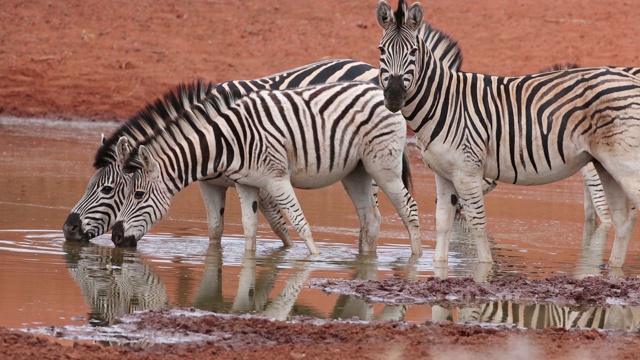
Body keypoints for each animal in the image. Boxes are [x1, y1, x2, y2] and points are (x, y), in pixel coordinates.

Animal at [110, 81, 422, 256]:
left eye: (137, 195)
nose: (115, 237)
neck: (227, 141)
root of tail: (376, 89)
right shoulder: (246, 183)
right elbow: (249, 229)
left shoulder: (276, 178)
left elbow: (300, 223)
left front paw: (315, 259)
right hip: (356, 172)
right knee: (370, 219)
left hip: (383, 167)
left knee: (409, 209)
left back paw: (417, 261)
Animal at [376, 0, 640, 268]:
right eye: (381, 50)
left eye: (413, 53)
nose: (394, 97)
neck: (446, 102)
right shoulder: (443, 174)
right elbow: (442, 224)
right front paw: (438, 268)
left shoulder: (467, 172)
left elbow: (478, 227)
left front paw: (484, 269)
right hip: (606, 165)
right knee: (624, 221)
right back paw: (613, 268)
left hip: (626, 165)